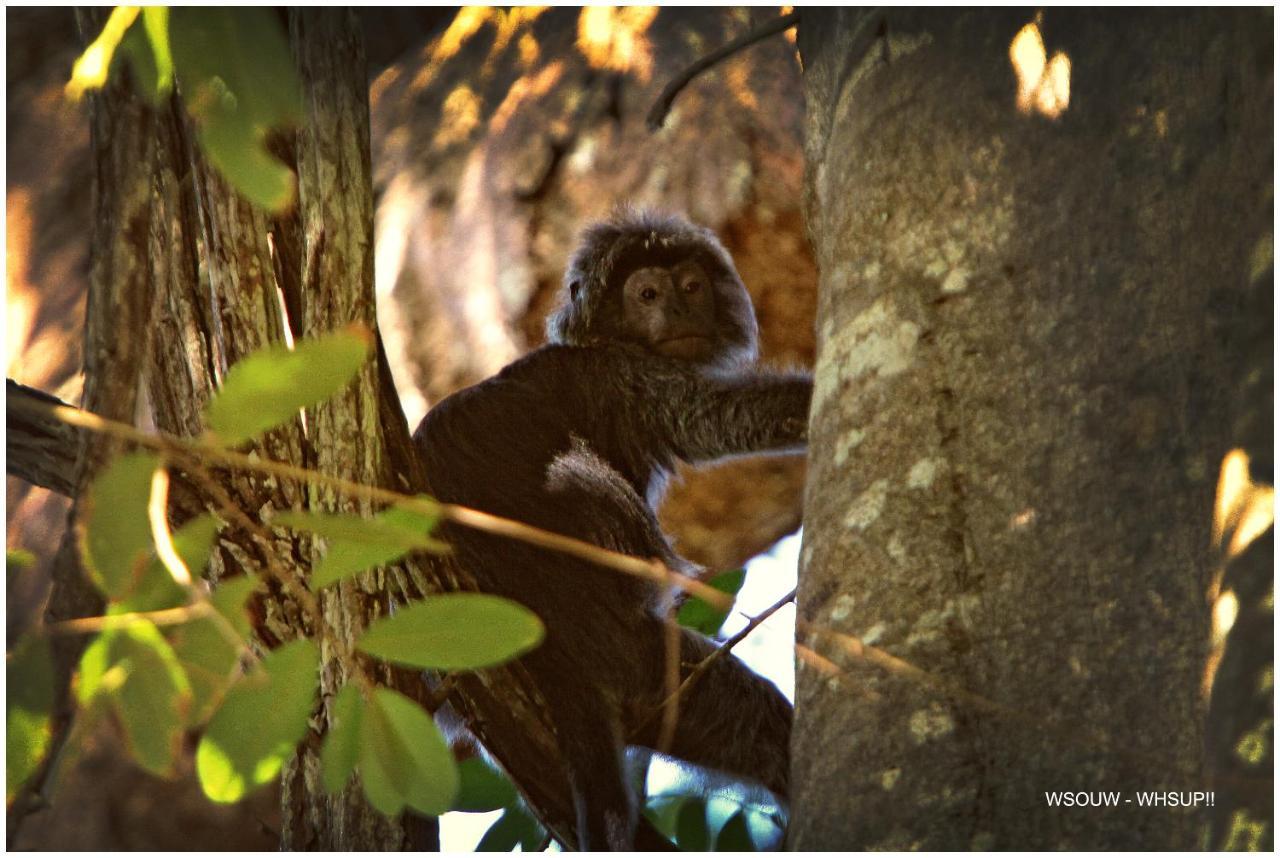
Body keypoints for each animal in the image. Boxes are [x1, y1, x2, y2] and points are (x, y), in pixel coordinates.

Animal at [412, 210, 808, 855]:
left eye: (691, 286)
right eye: (647, 295)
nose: (678, 309)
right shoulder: (624, 375)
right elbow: (727, 417)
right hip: (634, 657)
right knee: (761, 719)